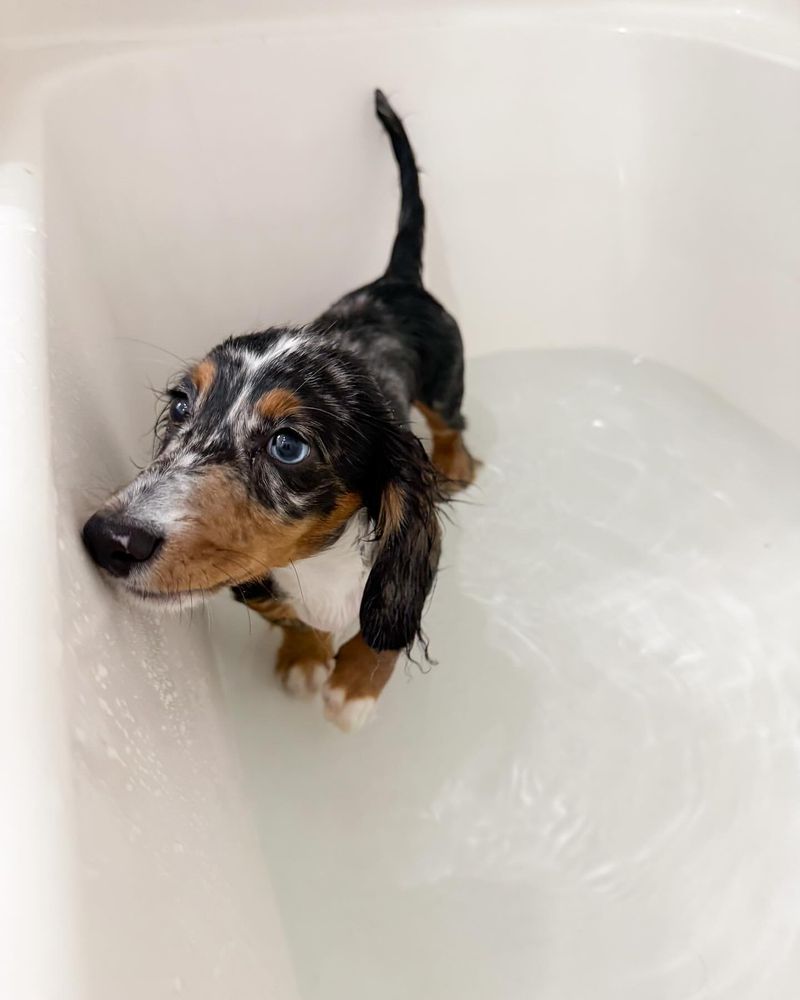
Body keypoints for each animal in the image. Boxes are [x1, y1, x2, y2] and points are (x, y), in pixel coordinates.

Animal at [83, 90, 476, 732]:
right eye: (180, 405)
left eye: (288, 445)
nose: (111, 538)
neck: (319, 562)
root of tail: (394, 279)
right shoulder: (258, 585)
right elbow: (293, 616)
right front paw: (307, 656)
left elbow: (387, 617)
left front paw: (356, 684)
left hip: (445, 380)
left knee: (451, 422)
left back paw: (455, 465)